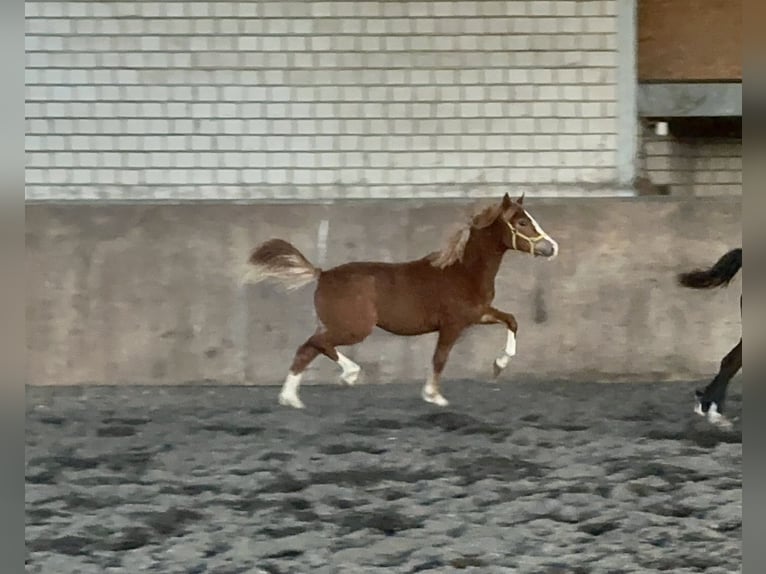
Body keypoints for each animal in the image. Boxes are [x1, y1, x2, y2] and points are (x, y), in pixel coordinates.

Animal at [244, 194, 560, 410]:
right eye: (522, 222)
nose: (552, 247)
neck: (462, 271)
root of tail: (322, 274)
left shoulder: (477, 315)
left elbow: (512, 320)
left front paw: (499, 365)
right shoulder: (453, 324)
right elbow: (440, 357)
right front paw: (433, 396)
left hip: (340, 326)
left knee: (307, 350)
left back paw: (291, 399)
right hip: (354, 328)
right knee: (317, 344)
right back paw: (348, 375)